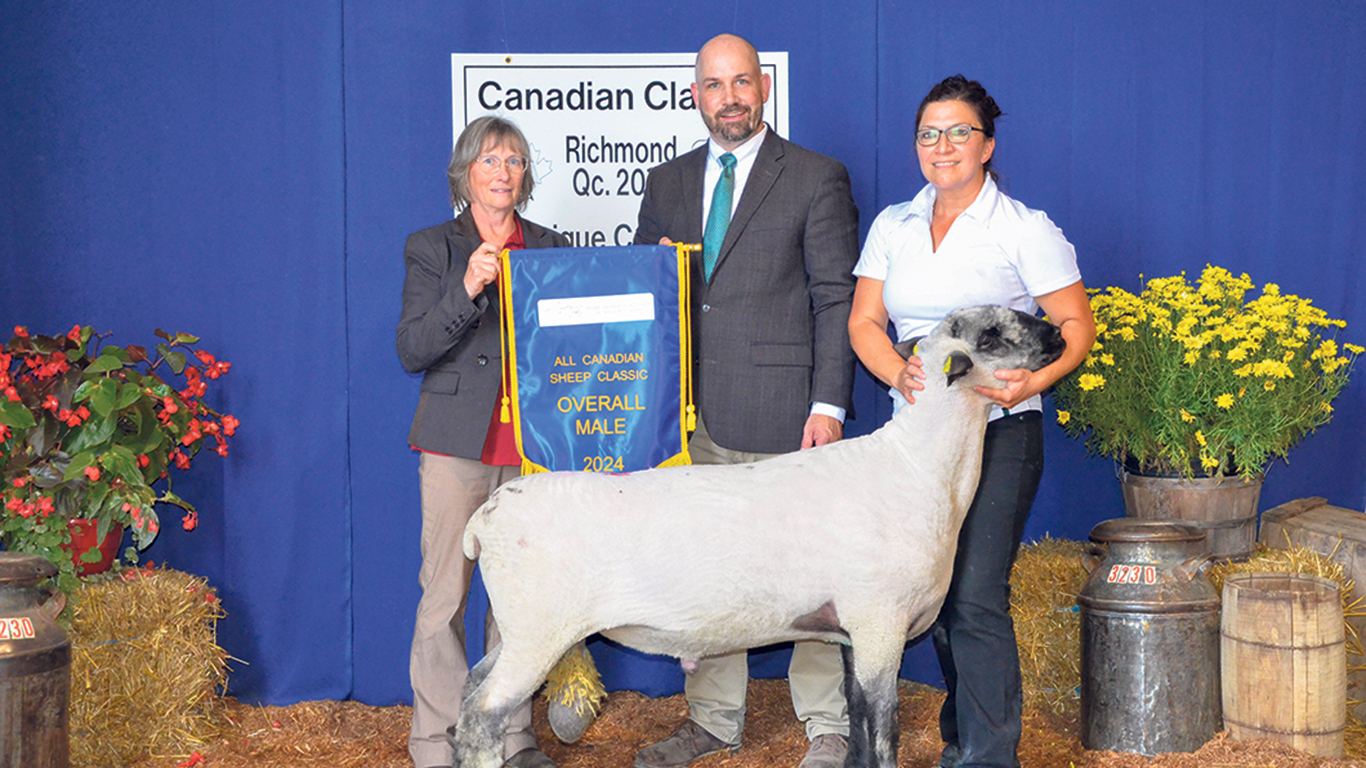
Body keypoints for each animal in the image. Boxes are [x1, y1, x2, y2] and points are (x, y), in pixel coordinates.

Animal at [456, 304, 1065, 765]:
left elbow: (857, 722)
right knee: (484, 713)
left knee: (468, 693)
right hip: (538, 631)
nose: (1059, 333)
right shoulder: (879, 624)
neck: (917, 468)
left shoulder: (850, 632)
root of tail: (485, 518)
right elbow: (882, 730)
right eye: (990, 335)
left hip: (519, 629)